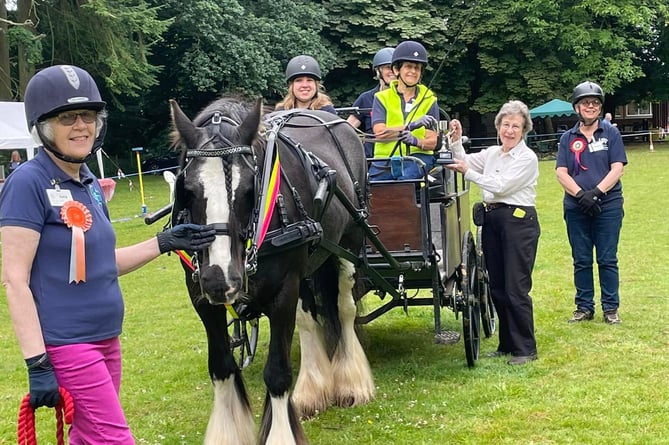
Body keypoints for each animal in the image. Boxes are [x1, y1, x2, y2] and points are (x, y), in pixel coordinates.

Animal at [167, 97, 374, 444]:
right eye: (189, 190)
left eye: (248, 190)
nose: (221, 278)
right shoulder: (201, 299)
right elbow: (221, 367)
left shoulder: (283, 292)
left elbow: (277, 373)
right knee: (308, 318)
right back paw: (312, 390)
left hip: (350, 243)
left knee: (344, 308)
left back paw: (351, 382)